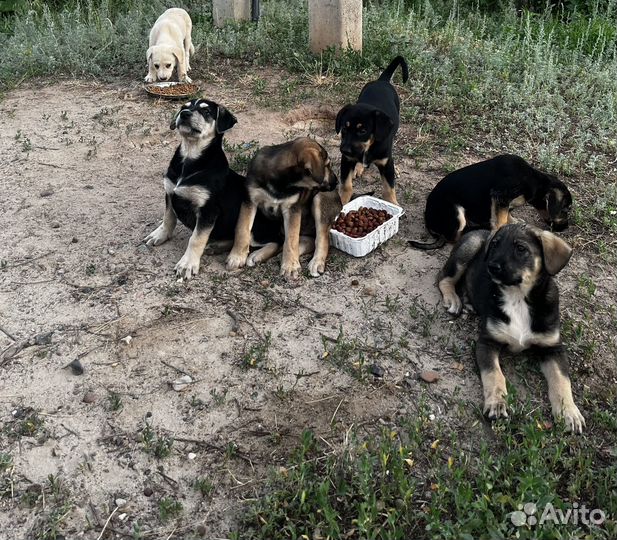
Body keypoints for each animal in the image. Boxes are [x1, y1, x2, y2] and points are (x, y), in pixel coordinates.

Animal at [144, 98, 280, 278]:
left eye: (206, 111)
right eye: (183, 107)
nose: (184, 114)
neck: (190, 157)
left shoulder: (208, 210)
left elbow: (196, 239)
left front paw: (187, 264)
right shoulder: (170, 193)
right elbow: (168, 218)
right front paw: (160, 234)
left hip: (257, 227)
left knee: (275, 242)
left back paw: (256, 255)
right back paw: (216, 246)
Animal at [225, 137, 342, 278]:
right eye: (327, 165)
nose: (336, 182)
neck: (281, 182)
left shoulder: (292, 208)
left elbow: (291, 239)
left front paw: (290, 266)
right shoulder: (249, 200)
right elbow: (242, 229)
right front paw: (236, 257)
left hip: (320, 197)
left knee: (321, 238)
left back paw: (316, 262)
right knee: (296, 241)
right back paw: (261, 255)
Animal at [334, 55, 406, 205]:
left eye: (362, 131)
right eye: (344, 128)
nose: (344, 150)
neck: (370, 146)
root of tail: (382, 81)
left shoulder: (385, 164)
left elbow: (389, 188)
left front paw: (393, 203)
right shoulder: (347, 160)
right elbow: (346, 185)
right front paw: (342, 202)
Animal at [410, 155, 572, 250]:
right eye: (566, 210)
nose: (566, 228)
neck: (535, 180)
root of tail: (428, 222)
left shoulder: (503, 203)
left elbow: (507, 215)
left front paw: (513, 221)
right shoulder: (500, 196)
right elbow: (500, 220)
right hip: (456, 213)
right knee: (454, 238)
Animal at [438, 224, 584, 434]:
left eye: (521, 248)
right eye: (495, 245)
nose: (491, 267)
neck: (518, 298)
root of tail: (481, 230)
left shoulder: (553, 348)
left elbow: (562, 380)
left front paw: (569, 412)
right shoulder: (487, 342)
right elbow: (494, 375)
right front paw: (497, 403)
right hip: (468, 248)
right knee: (443, 277)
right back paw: (454, 299)